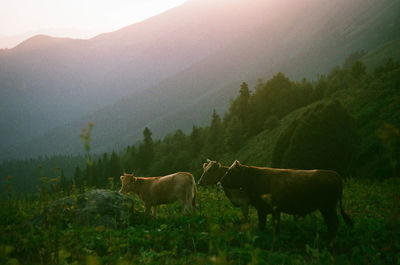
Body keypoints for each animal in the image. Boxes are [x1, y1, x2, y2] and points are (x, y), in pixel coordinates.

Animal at [219, 160, 354, 240]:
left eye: (230, 172)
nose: (221, 181)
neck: (254, 178)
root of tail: (332, 173)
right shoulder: (275, 210)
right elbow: (276, 224)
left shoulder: (262, 209)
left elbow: (262, 224)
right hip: (328, 208)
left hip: (327, 207)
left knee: (333, 223)